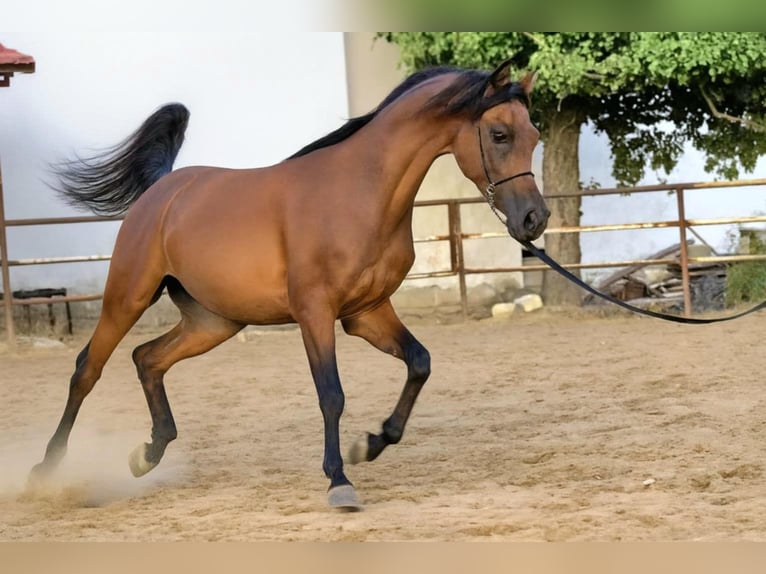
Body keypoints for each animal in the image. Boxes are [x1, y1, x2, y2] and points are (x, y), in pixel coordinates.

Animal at [29, 58, 549, 510]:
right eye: (499, 134)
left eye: (535, 135)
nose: (534, 220)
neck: (361, 193)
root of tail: (164, 189)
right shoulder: (315, 312)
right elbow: (332, 394)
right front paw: (339, 481)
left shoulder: (367, 312)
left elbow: (419, 363)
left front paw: (372, 443)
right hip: (127, 297)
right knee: (87, 370)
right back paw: (45, 468)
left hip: (213, 322)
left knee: (147, 358)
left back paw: (147, 454)